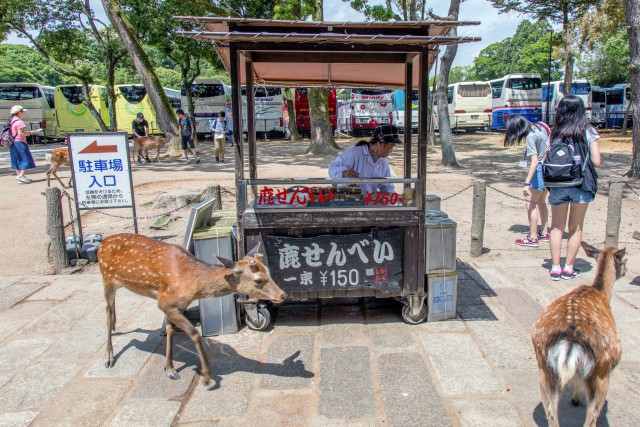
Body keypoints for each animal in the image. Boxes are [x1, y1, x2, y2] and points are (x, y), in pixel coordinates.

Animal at [99, 234, 286, 388]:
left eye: (268, 271)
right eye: (258, 280)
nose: (282, 295)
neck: (192, 284)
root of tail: (102, 243)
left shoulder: (174, 305)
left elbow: (170, 330)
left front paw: (170, 369)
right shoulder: (164, 302)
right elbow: (194, 333)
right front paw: (207, 376)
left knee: (119, 317)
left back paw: (116, 328)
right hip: (107, 279)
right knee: (107, 313)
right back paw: (108, 357)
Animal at [528, 242, 624, 426]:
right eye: (624, 261)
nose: (625, 272)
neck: (600, 291)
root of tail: (570, 341)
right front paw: (575, 399)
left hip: (545, 369)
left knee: (551, 414)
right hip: (601, 375)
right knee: (591, 418)